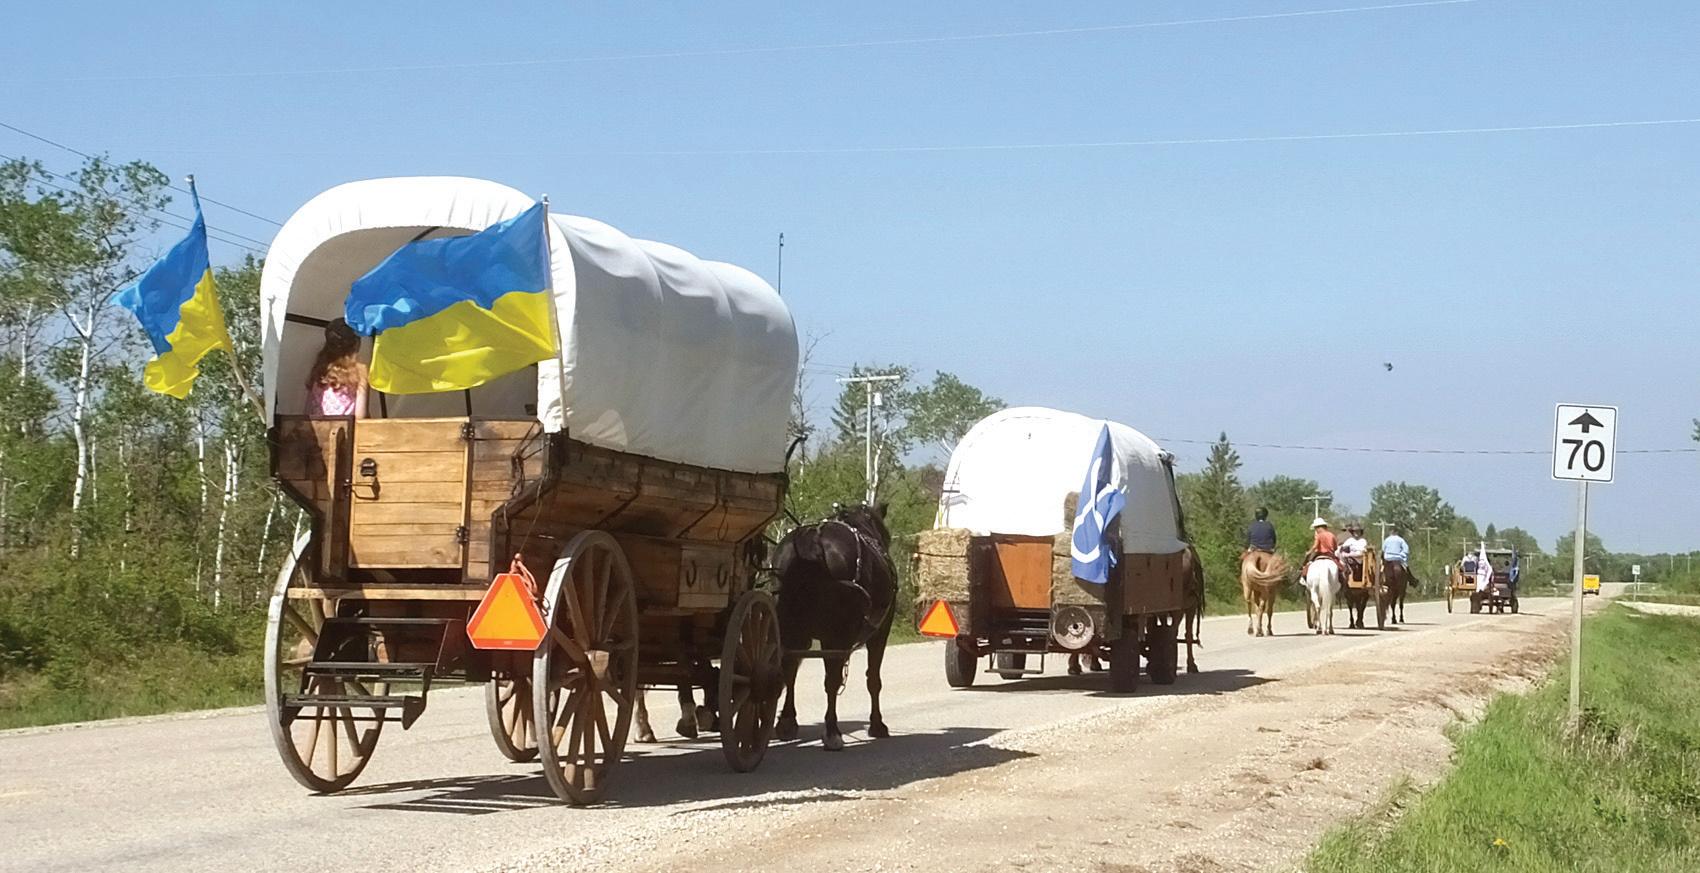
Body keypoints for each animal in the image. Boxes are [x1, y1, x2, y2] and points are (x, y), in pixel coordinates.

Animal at [773, 503, 898, 751]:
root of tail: (812, 540)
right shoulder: (880, 631)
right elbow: (873, 679)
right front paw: (878, 725)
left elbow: (792, 673)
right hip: (835, 635)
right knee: (831, 681)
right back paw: (832, 731)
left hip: (793, 628)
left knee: (789, 670)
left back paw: (787, 722)